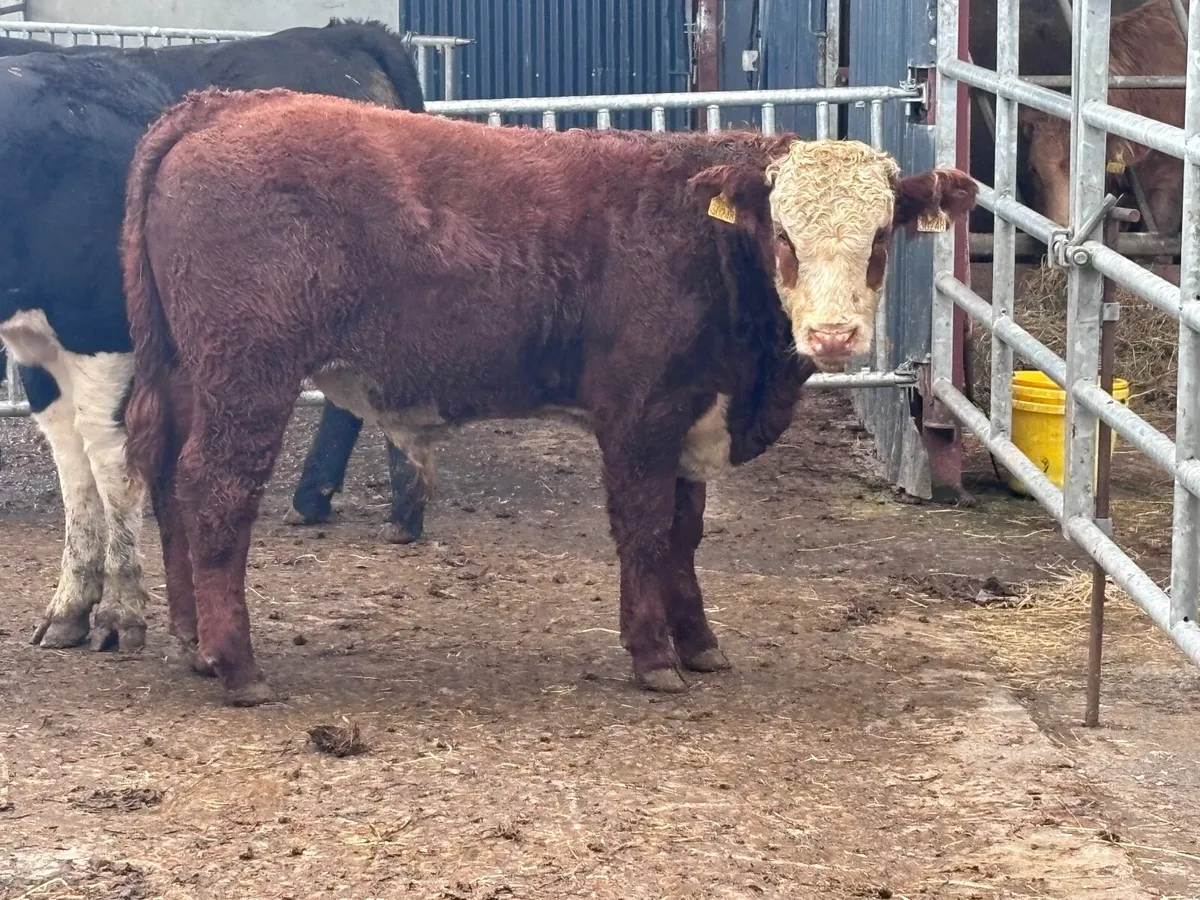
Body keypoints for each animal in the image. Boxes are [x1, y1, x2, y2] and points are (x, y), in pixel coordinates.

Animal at [0, 20, 427, 659]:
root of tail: (341, 34)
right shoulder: (33, 344)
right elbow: (70, 461)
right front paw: (71, 605)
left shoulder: (101, 324)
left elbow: (109, 457)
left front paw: (120, 611)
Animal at [119, 88, 976, 705]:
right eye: (784, 237)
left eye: (880, 237)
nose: (833, 335)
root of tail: (226, 104)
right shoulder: (640, 412)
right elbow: (645, 529)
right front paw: (652, 655)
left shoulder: (691, 411)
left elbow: (685, 533)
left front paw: (699, 643)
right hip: (249, 375)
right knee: (215, 490)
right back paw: (238, 668)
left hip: (189, 373)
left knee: (167, 483)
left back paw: (193, 643)